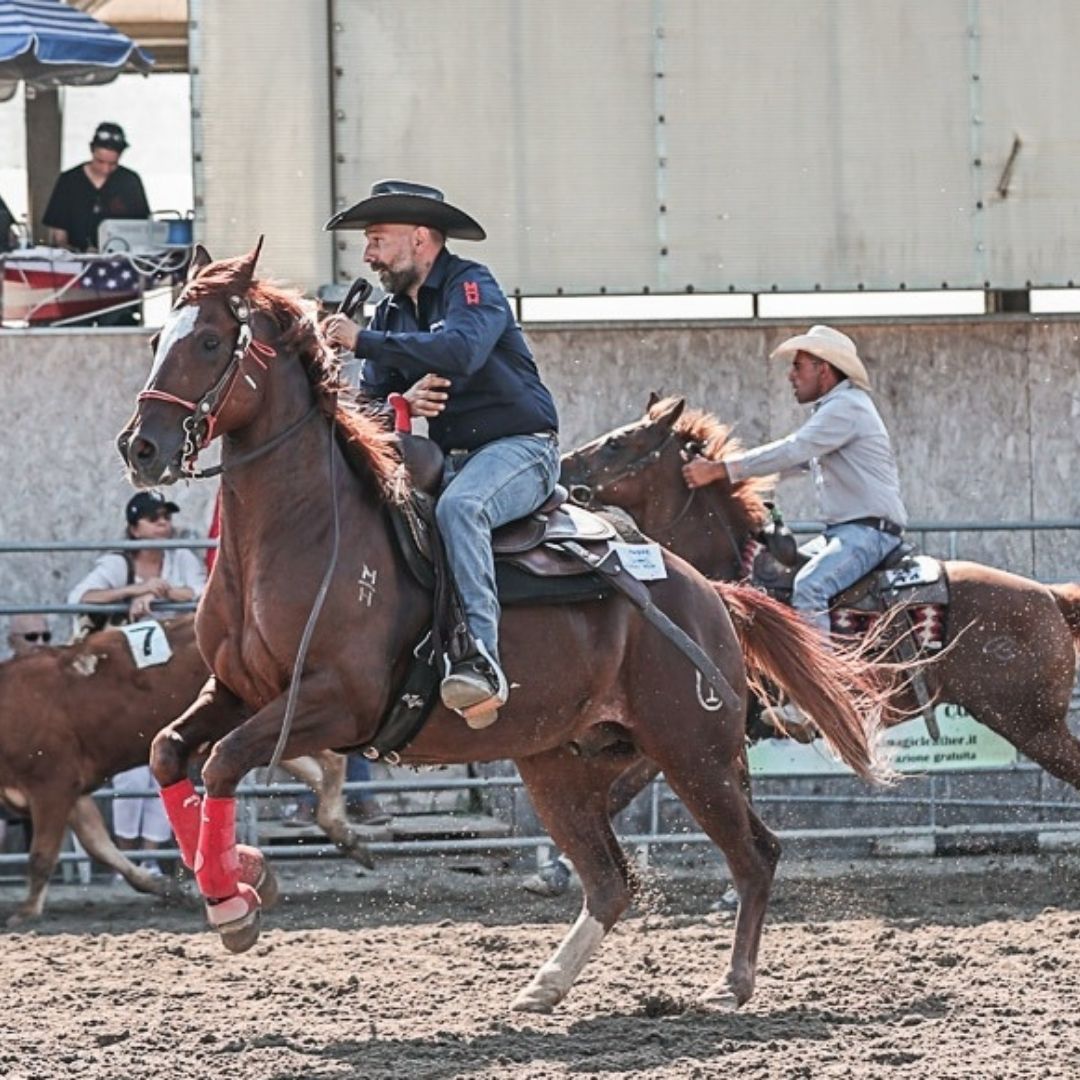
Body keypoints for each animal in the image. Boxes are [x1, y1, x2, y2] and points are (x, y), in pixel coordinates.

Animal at [113, 245, 898, 1010]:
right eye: (155, 340)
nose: (140, 448)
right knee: (610, 879)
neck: (302, 531)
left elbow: (222, 762)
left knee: (753, 854)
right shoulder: (236, 690)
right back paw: (545, 984)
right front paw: (241, 871)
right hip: (560, 763)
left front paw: (234, 904)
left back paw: (731, 983)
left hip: (694, 752)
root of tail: (712, 595)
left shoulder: (335, 702)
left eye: (211, 340)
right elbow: (167, 753)